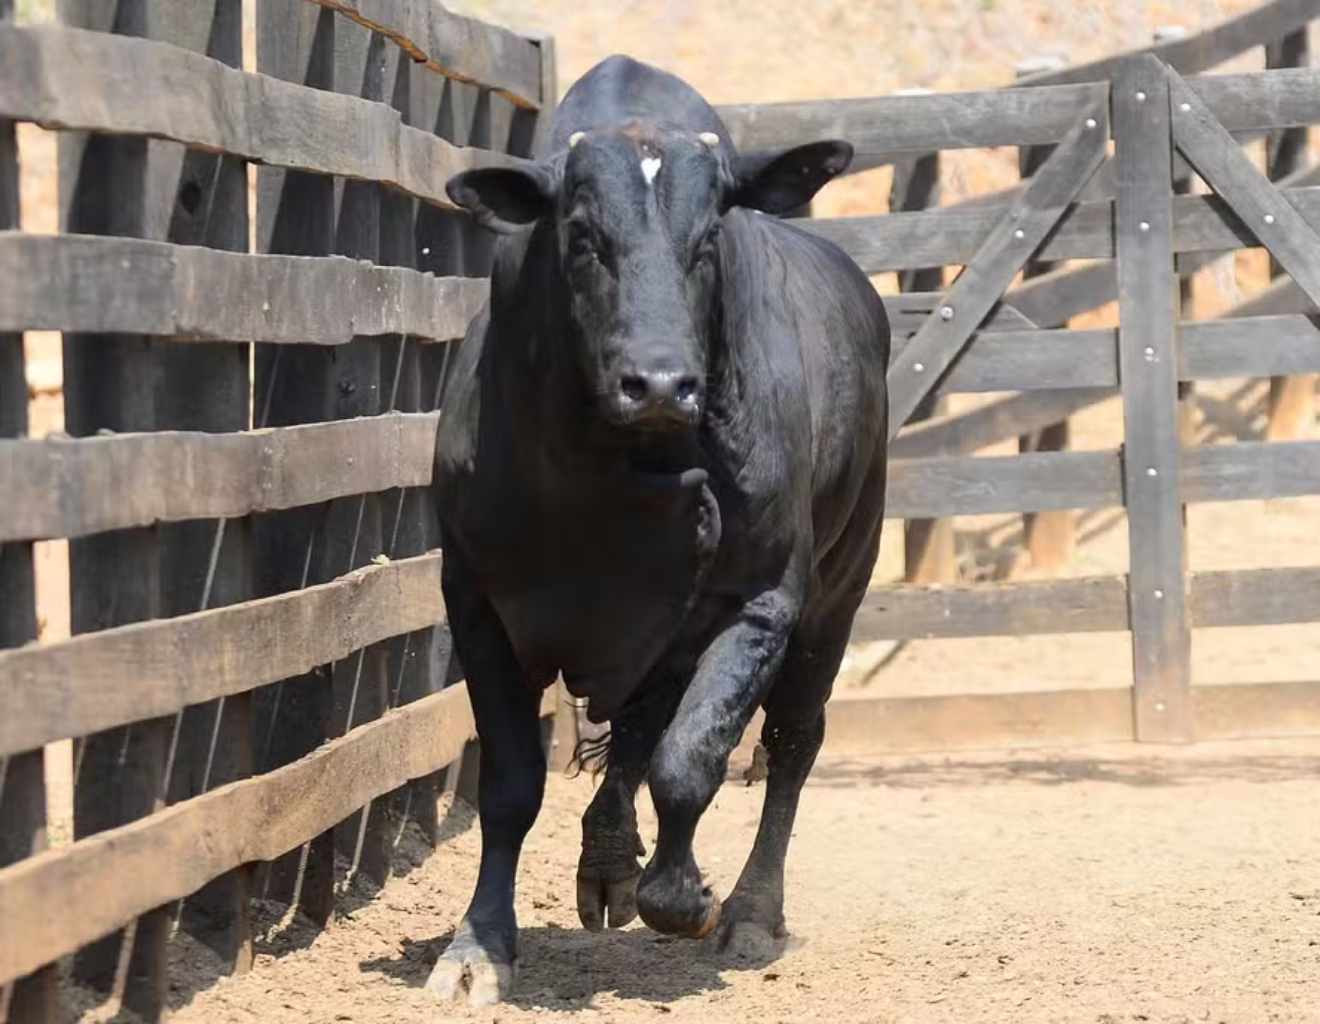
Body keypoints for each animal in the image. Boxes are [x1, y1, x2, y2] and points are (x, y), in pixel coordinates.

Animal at [427, 52, 892, 1002]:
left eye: (707, 240)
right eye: (581, 237)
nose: (662, 384)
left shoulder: (761, 601)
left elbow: (692, 760)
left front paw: (682, 897)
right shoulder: (478, 602)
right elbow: (513, 784)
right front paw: (477, 945)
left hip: (840, 590)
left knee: (790, 742)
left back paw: (750, 910)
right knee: (636, 737)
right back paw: (607, 863)